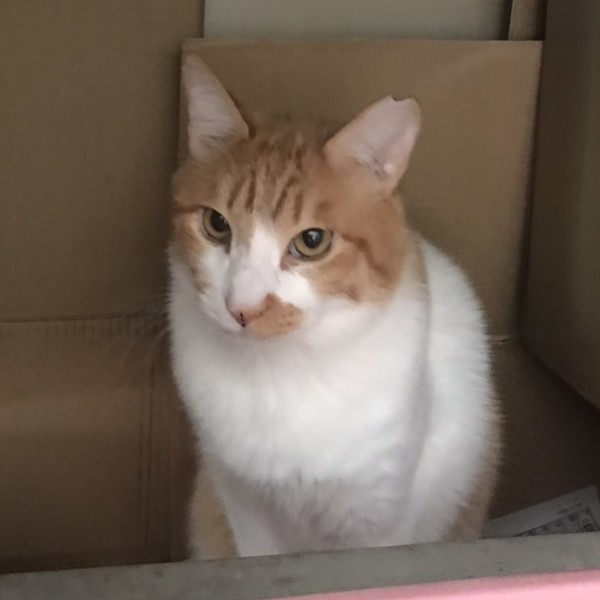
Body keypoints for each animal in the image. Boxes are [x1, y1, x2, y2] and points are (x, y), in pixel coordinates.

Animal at [168, 56, 501, 559]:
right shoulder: (241, 503)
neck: (279, 377)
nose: (243, 307)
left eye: (311, 241)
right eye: (216, 224)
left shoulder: (376, 516)